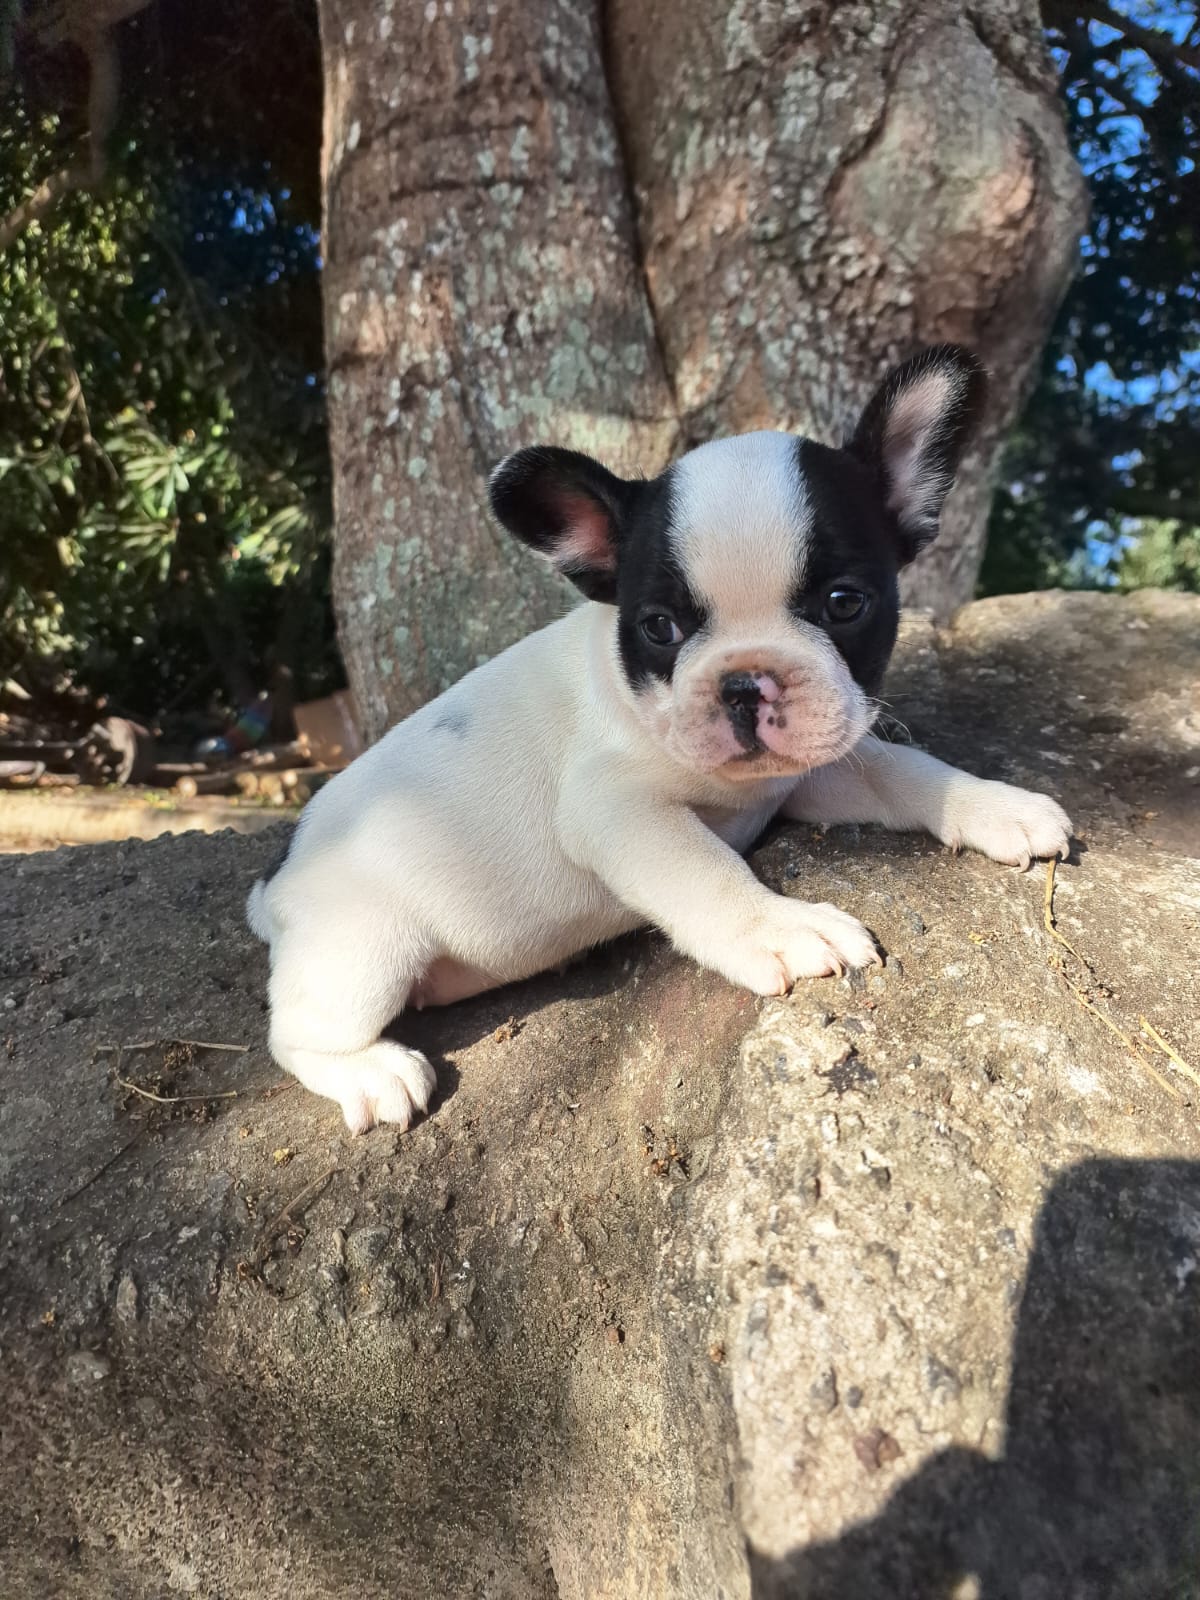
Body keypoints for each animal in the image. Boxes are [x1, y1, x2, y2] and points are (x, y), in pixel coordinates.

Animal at [249, 344, 1075, 1132]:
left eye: (845, 603)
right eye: (658, 627)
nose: (743, 682)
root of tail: (280, 886)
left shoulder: (815, 768)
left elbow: (899, 769)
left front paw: (992, 805)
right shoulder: (617, 810)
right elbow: (706, 871)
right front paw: (782, 927)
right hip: (364, 948)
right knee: (294, 1035)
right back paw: (370, 1072)